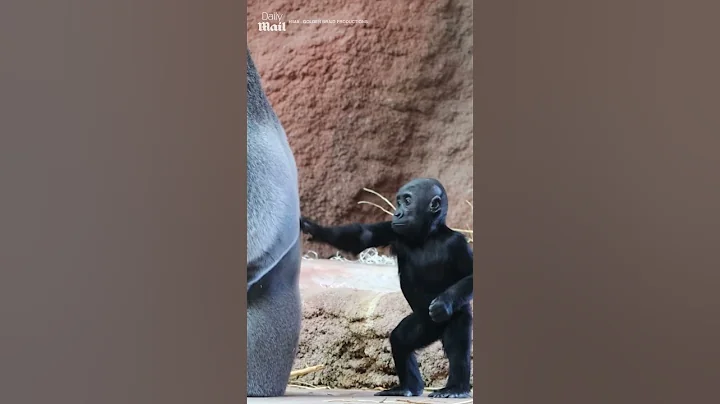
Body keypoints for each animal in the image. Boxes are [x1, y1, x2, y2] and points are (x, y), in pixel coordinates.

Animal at [299, 178, 472, 398]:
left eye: (407, 201)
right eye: (398, 201)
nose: (397, 213)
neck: (427, 235)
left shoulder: (458, 243)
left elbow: (471, 275)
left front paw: (443, 303)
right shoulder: (393, 230)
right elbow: (362, 237)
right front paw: (311, 227)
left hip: (457, 315)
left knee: (457, 346)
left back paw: (456, 388)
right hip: (423, 325)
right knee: (401, 340)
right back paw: (408, 387)